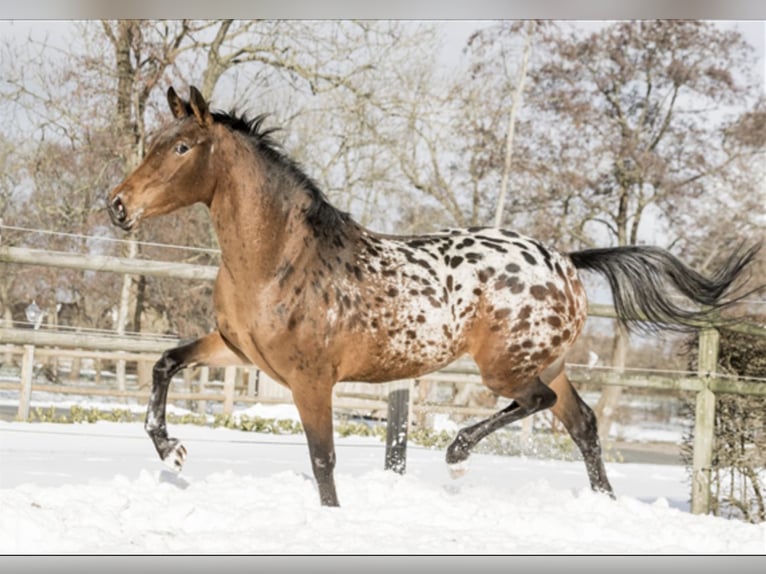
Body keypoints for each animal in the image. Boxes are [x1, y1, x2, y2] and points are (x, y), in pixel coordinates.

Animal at [108, 85, 760, 508]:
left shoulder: (311, 380)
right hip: (546, 359)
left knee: (539, 402)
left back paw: (456, 451)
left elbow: (323, 461)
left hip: (505, 367)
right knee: (583, 423)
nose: (117, 205)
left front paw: (332, 517)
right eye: (157, 140)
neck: (277, 260)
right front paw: (172, 451)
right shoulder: (236, 350)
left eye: (182, 148)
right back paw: (603, 505)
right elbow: (164, 363)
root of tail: (565, 261)